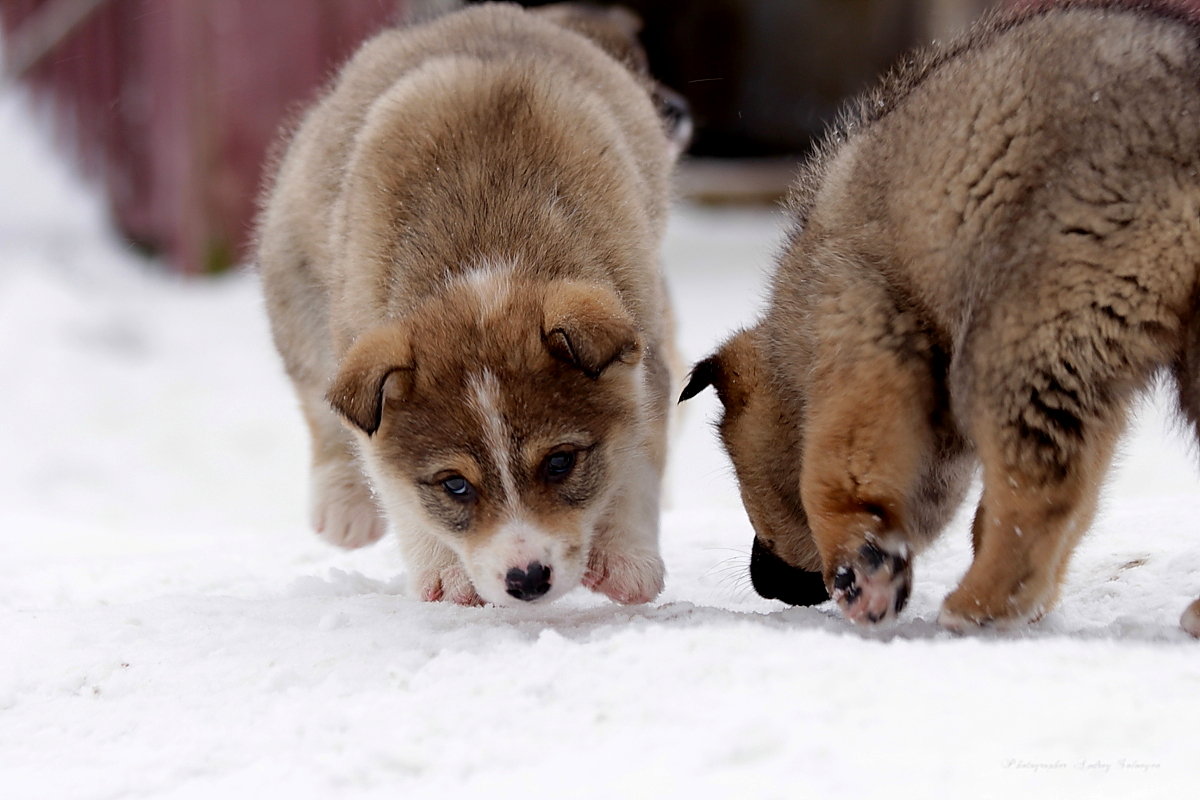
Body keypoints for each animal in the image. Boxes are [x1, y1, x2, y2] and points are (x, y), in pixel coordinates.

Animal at [258, 3, 691, 606]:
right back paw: (344, 507)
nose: (527, 580)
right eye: (455, 485)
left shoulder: (644, 361)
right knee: (320, 408)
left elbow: (636, 466)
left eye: (560, 462)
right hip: (296, 287)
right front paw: (447, 574)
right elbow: (396, 487)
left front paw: (627, 559)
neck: (486, 267)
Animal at [686, 0, 1200, 638]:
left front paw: (862, 566)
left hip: (1030, 322)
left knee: (1039, 484)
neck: (793, 339)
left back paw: (977, 605)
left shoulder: (861, 324)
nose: (766, 584)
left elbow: (836, 469)